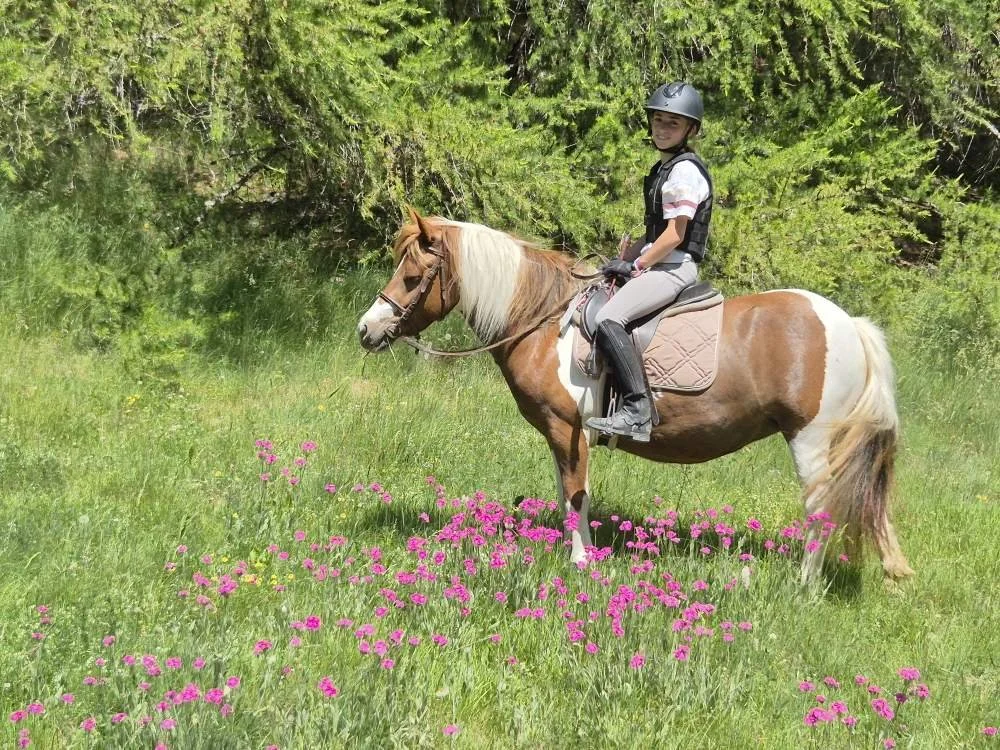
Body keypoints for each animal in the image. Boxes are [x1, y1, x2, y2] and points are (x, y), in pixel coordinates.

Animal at [357, 209, 915, 584]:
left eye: (412, 276)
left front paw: (581, 561)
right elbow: (565, 492)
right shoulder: (563, 433)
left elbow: (576, 493)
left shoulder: (567, 427)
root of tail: (850, 324)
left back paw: (804, 583)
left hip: (812, 439)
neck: (543, 322)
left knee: (820, 508)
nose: (367, 329)